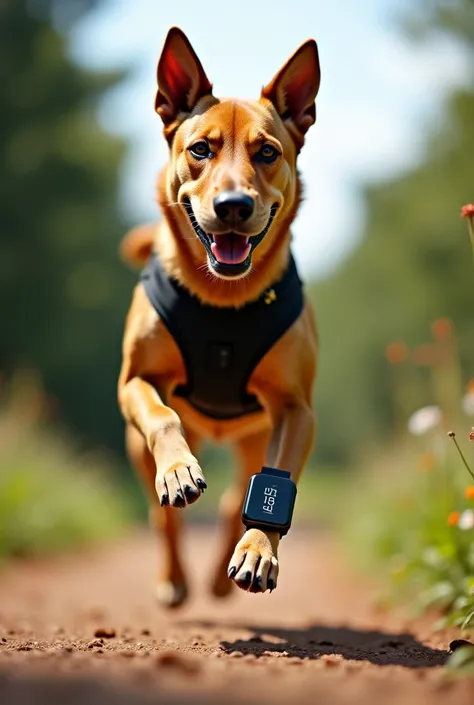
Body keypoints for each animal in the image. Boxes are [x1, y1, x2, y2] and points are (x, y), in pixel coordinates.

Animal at [116, 24, 320, 604]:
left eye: (268, 151)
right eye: (200, 149)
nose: (232, 205)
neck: (225, 300)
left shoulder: (296, 409)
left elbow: (273, 486)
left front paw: (258, 551)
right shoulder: (134, 381)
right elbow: (162, 416)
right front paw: (179, 471)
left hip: (252, 436)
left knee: (234, 500)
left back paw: (220, 576)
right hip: (134, 446)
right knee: (162, 516)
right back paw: (175, 579)